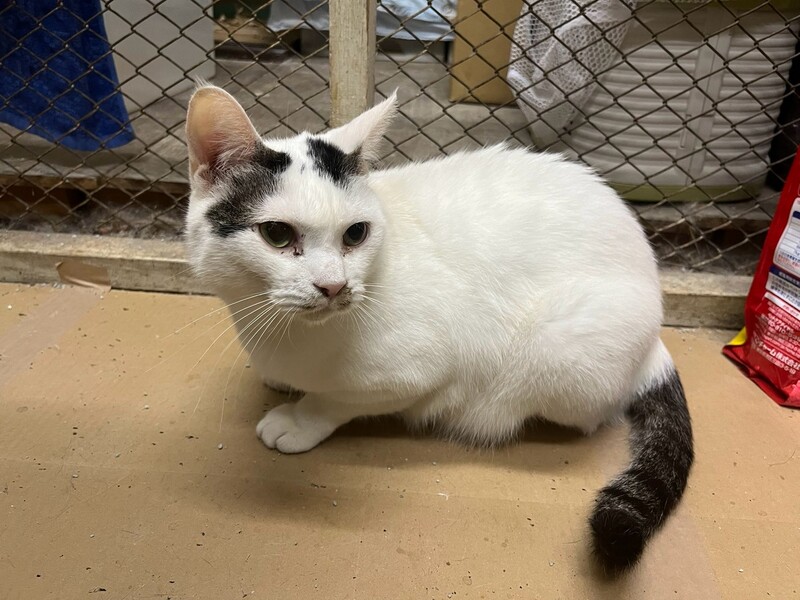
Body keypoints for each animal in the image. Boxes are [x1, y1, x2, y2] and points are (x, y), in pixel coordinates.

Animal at [184, 85, 693, 573]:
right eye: (276, 234)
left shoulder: (417, 372)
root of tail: (655, 330)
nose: (334, 286)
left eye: (355, 234)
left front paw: (299, 418)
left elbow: (335, 400)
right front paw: (279, 379)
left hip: (558, 351)